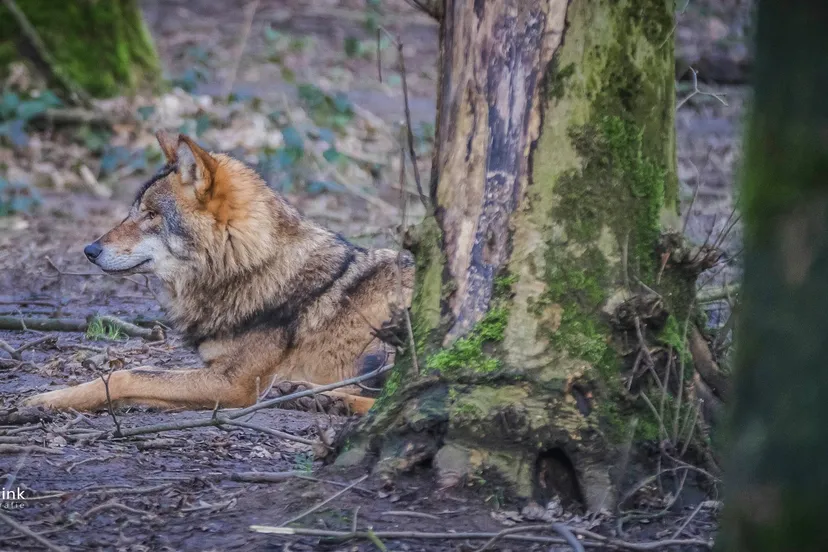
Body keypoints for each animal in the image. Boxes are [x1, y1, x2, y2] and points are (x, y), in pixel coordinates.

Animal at [23, 131, 413, 414]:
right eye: (133, 212)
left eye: (151, 215)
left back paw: (324, 398)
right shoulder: (213, 372)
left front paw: (42, 400)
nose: (89, 250)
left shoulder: (234, 383)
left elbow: (123, 375)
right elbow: (135, 381)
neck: (251, 266)